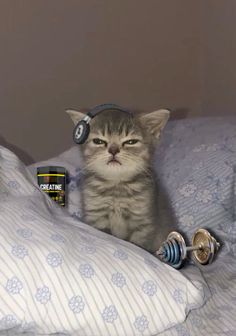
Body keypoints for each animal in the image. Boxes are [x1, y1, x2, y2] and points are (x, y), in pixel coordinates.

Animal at [66, 107, 173, 252]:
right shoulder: (96, 215)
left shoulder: (143, 221)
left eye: (130, 142)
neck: (116, 186)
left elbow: (139, 245)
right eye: (98, 141)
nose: (113, 150)